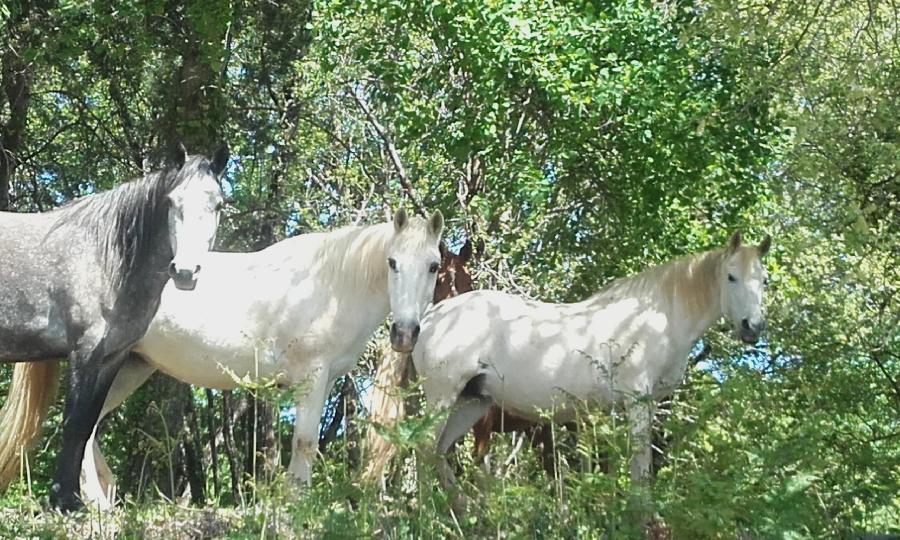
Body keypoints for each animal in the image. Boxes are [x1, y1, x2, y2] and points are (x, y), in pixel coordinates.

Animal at [80, 209, 442, 508]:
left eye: (433, 266)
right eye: (392, 262)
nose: (404, 333)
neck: (335, 287)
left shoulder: (323, 381)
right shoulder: (311, 373)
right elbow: (305, 441)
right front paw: (297, 506)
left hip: (130, 368)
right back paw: (97, 502)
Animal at [412, 232, 768, 502]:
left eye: (763, 280)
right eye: (731, 277)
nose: (753, 327)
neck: (657, 319)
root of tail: (430, 318)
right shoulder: (636, 402)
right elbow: (640, 468)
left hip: (471, 403)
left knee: (438, 452)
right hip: (445, 398)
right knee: (423, 447)